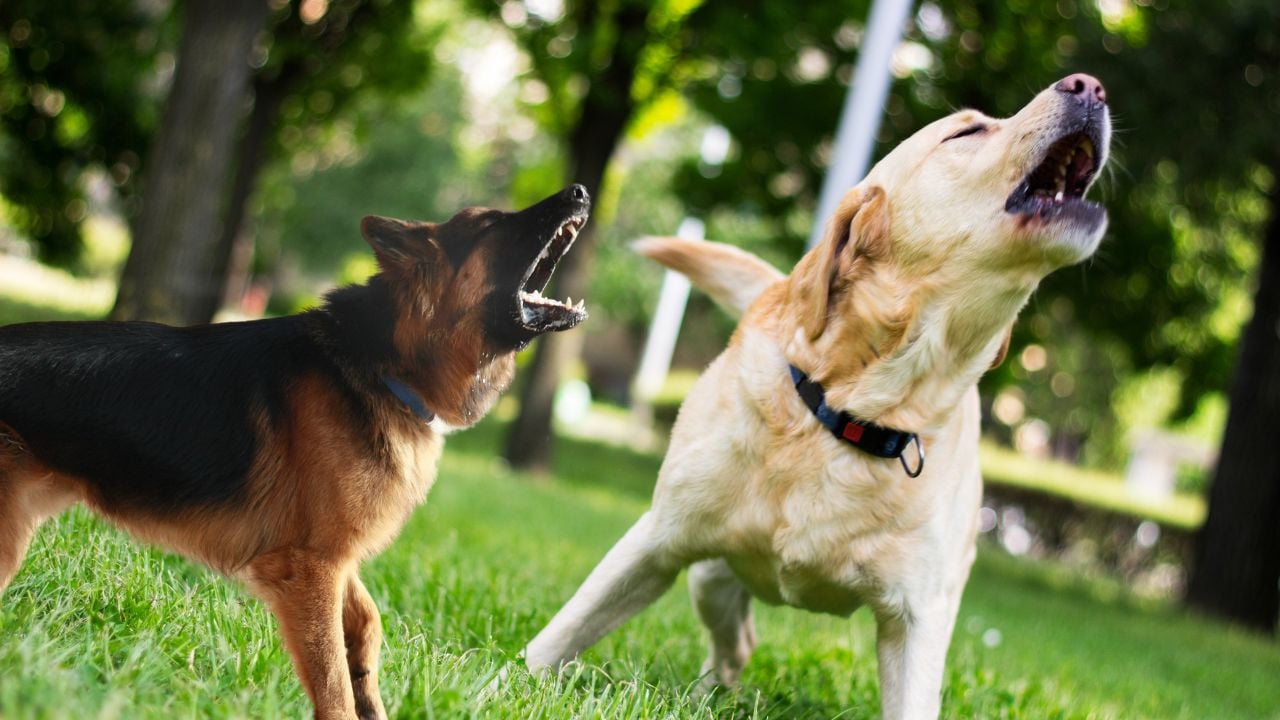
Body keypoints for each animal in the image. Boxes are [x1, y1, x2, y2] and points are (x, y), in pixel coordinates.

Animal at [0, 183, 588, 712]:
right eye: (492, 224)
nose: (581, 192)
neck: (383, 364)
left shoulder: (331, 559)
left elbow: (366, 623)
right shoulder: (309, 569)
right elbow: (333, 685)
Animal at [519, 75, 1111, 712]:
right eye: (968, 131)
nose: (1090, 85)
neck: (852, 414)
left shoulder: (919, 619)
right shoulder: (657, 539)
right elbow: (557, 638)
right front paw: (505, 681)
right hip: (709, 575)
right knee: (734, 641)